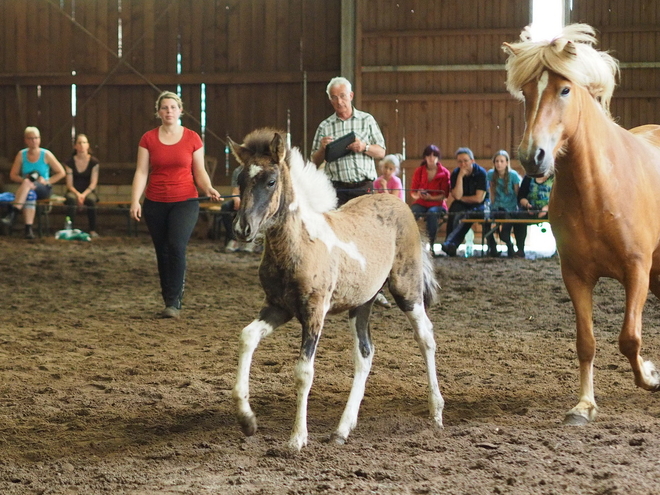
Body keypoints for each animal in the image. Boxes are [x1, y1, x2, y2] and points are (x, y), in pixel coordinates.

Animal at [228, 129, 444, 454]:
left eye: (271, 181)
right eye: (241, 180)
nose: (242, 229)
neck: (298, 245)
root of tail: (401, 205)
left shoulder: (314, 312)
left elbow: (304, 372)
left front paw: (297, 438)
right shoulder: (278, 308)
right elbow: (247, 337)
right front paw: (246, 420)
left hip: (407, 291)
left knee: (425, 338)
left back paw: (436, 414)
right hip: (362, 302)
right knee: (365, 353)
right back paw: (342, 429)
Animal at [502, 25, 660, 424]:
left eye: (564, 89)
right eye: (526, 92)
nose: (533, 156)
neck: (599, 189)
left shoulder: (637, 270)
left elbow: (629, 338)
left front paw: (651, 377)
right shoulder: (575, 275)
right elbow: (585, 342)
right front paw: (584, 405)